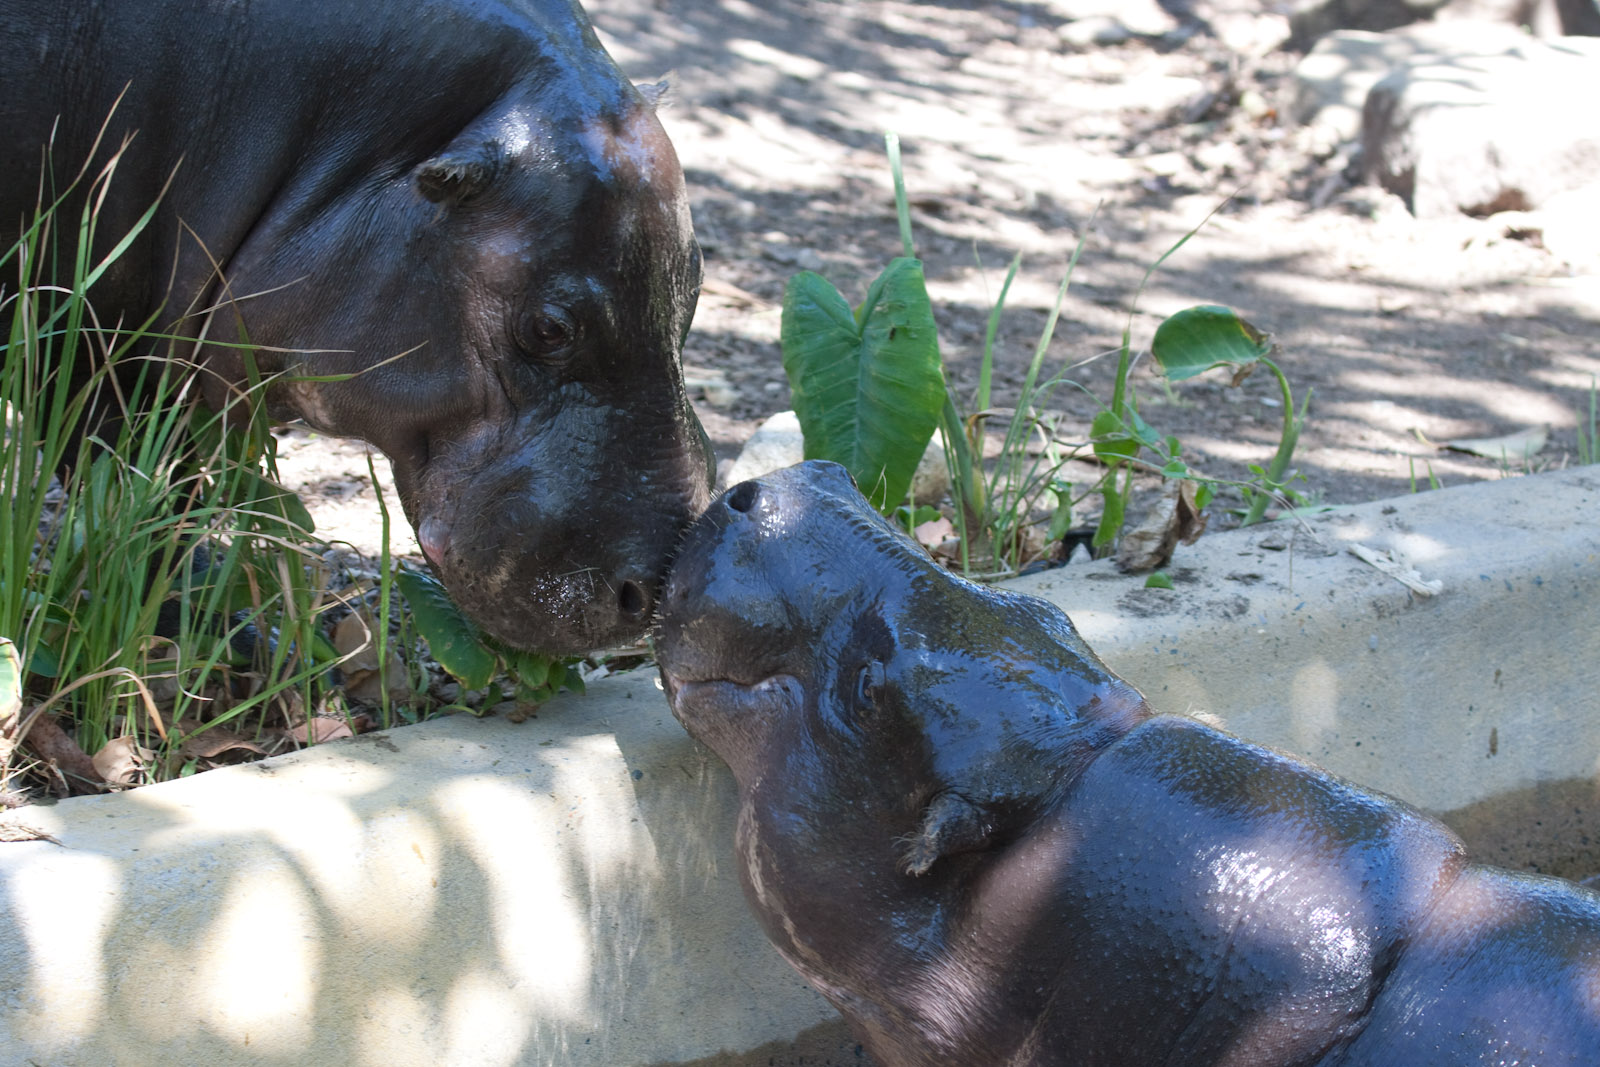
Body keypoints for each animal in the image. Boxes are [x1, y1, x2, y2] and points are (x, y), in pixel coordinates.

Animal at [0, 0, 712, 654]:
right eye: (548, 329)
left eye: (695, 287)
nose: (662, 591)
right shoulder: (97, 367)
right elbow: (139, 511)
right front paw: (216, 641)